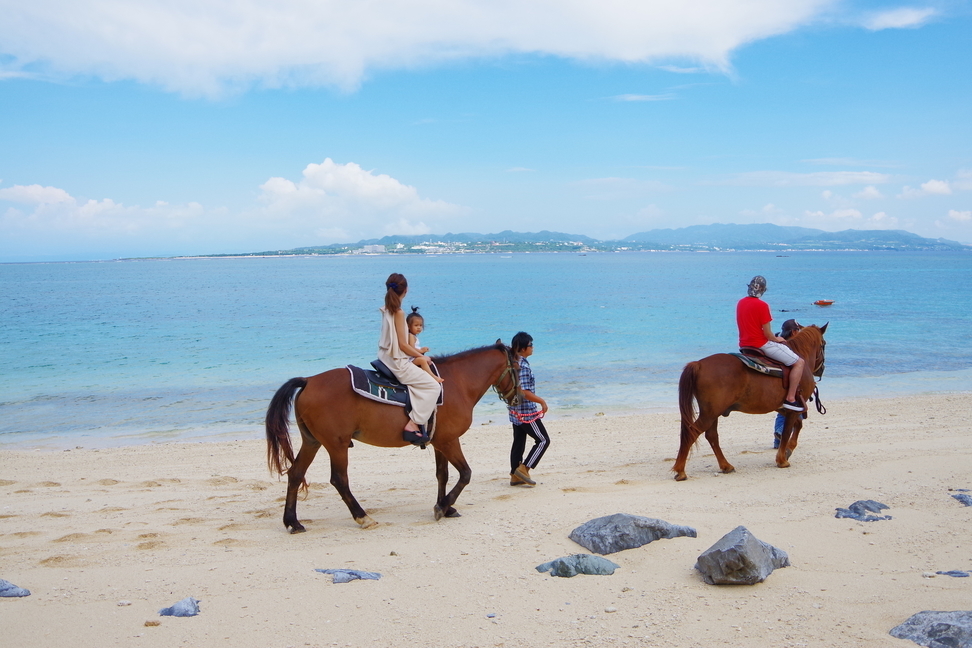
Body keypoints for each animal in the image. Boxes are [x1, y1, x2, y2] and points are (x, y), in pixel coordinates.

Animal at [262, 342, 520, 536]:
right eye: (519, 366)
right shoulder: (449, 441)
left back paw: (293, 522)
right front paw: (443, 507)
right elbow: (465, 474)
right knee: (339, 480)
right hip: (337, 445)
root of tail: (309, 380)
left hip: (312, 442)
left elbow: (443, 475)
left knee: (295, 474)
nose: (517, 398)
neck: (457, 382)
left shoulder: (440, 442)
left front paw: (445, 507)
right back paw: (362, 517)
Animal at [676, 324, 828, 480]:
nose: (821, 369)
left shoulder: (784, 408)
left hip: (712, 413)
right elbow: (787, 431)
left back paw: (725, 466)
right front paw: (782, 459)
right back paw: (680, 470)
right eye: (824, 344)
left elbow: (797, 424)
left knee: (711, 436)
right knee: (692, 433)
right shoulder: (793, 409)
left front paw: (788, 450)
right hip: (709, 415)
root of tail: (699, 364)